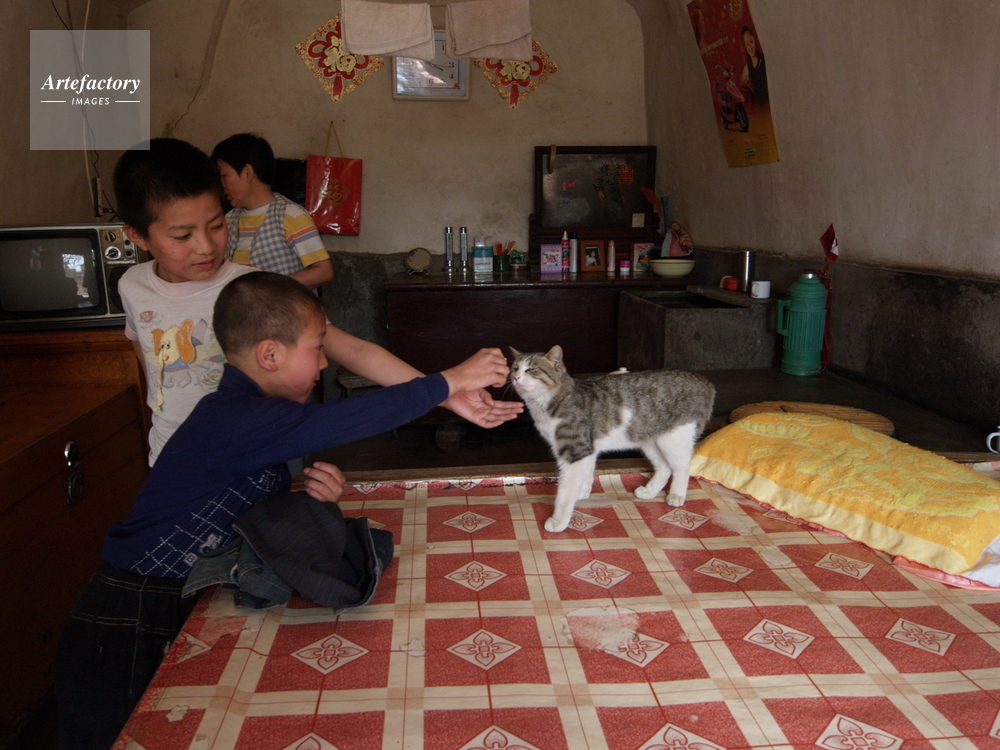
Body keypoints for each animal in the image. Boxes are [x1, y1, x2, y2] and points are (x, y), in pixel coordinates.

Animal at [509, 346, 716, 532]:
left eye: (530, 370)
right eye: (514, 368)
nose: (515, 377)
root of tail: (705, 381)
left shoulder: (574, 451)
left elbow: (565, 492)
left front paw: (559, 521)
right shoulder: (588, 450)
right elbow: (586, 475)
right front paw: (581, 492)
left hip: (674, 438)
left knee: (682, 467)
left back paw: (677, 494)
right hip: (649, 440)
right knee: (664, 467)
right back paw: (649, 491)